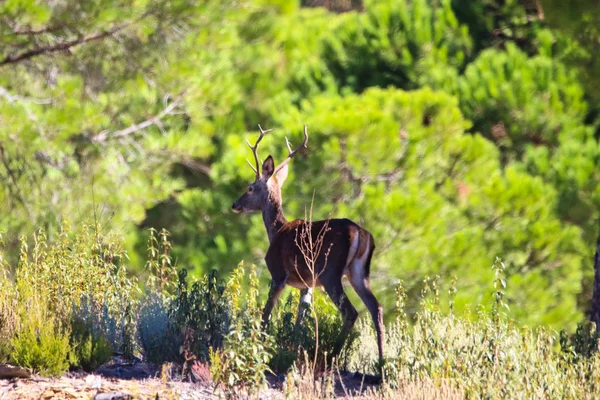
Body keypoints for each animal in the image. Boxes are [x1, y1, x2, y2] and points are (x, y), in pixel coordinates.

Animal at [230, 126, 384, 362]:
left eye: (249, 188)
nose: (234, 204)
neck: (276, 231)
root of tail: (359, 231)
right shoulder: (307, 284)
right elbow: (299, 319)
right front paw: (293, 348)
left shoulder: (278, 273)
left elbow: (266, 313)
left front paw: (259, 348)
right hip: (358, 272)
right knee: (376, 308)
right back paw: (381, 362)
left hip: (330, 271)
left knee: (351, 312)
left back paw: (333, 355)